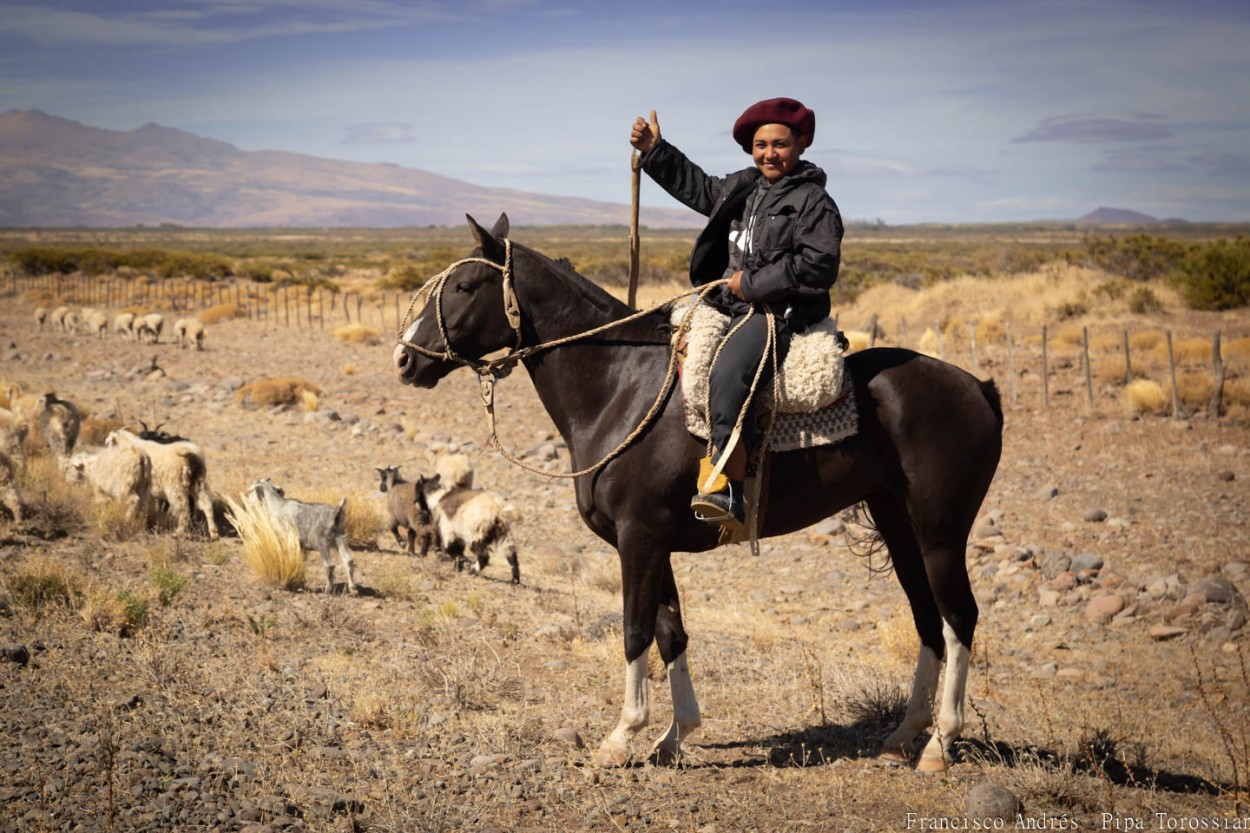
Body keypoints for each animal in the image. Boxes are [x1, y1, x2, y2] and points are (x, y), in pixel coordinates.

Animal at [395, 215, 1000, 770]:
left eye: (464, 286)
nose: (404, 359)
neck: (621, 387)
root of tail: (978, 387)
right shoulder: (651, 540)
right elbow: (671, 634)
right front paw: (674, 736)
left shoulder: (639, 537)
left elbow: (636, 630)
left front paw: (622, 736)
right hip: (899, 525)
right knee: (928, 621)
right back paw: (903, 737)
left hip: (941, 534)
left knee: (959, 619)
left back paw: (940, 745)